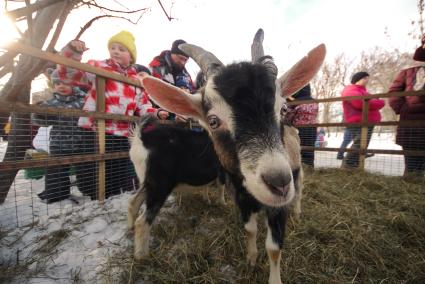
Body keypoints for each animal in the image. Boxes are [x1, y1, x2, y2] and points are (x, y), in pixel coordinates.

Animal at [126, 29, 324, 284]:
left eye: (282, 109)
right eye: (213, 121)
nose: (278, 183)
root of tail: (141, 136)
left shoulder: (277, 204)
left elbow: (274, 247)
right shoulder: (240, 193)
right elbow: (250, 229)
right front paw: (251, 259)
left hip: (296, 170)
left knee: (299, 192)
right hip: (157, 182)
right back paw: (140, 253)